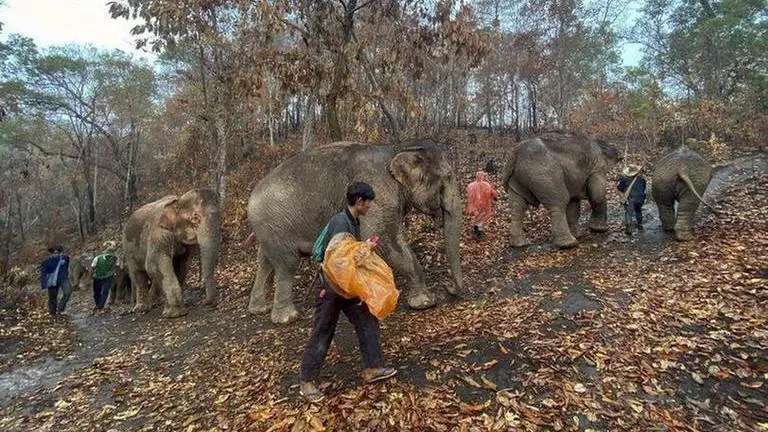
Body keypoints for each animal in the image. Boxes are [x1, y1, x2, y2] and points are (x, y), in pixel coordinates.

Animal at [122, 188, 221, 318]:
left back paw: (156, 303)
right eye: (195, 219)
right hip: (129, 249)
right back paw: (141, 309)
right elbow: (153, 264)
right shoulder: (158, 235)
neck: (177, 201)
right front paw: (175, 314)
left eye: (221, 215)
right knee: (138, 274)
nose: (206, 302)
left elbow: (182, 265)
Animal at [246, 139, 463, 324]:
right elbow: (385, 240)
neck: (397, 148)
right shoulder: (378, 195)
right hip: (275, 225)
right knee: (287, 264)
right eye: (448, 177)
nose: (448, 286)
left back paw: (259, 308)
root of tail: (249, 200)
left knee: (264, 260)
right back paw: (287, 318)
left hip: (268, 230)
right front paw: (425, 302)